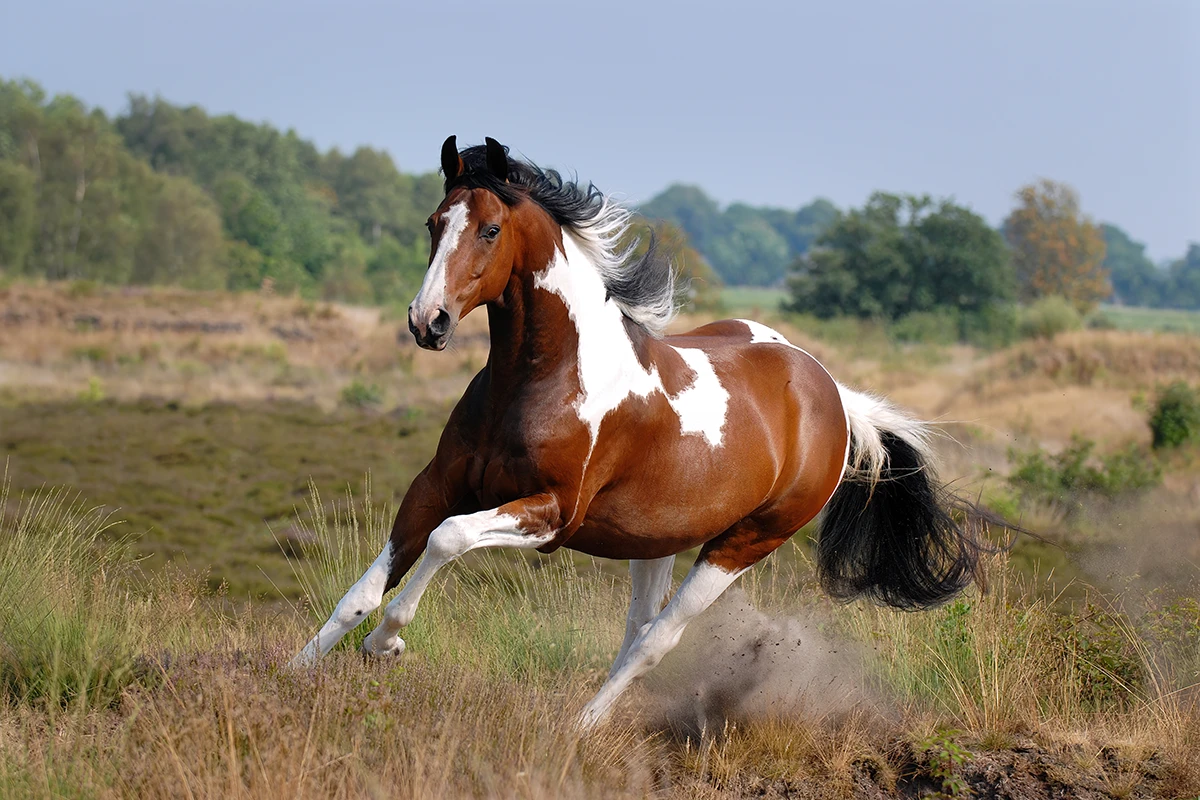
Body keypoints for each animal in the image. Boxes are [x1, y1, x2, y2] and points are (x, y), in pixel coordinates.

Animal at [295, 137, 988, 734]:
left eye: (489, 229)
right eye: (434, 223)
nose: (427, 322)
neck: (544, 377)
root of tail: (834, 396)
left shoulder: (551, 514)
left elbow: (447, 540)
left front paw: (386, 643)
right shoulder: (437, 483)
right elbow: (367, 586)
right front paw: (296, 668)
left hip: (742, 545)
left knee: (657, 639)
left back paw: (582, 726)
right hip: (658, 539)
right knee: (637, 628)